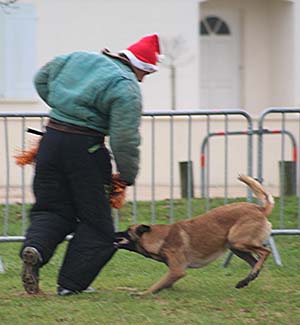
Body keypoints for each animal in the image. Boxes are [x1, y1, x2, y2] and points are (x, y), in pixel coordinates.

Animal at [115, 175, 274, 294]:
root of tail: (260, 209)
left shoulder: (177, 271)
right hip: (235, 247)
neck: (160, 238)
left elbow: (155, 286)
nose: (114, 232)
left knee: (265, 252)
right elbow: (161, 285)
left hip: (238, 242)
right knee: (255, 262)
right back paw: (246, 280)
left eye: (127, 231)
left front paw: (142, 293)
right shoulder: (172, 273)